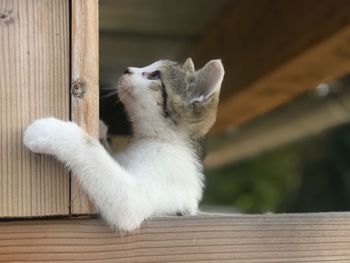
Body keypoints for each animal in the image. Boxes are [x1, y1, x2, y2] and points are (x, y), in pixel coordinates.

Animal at [23, 58, 224, 232]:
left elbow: (93, 152)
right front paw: (101, 130)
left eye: (155, 76)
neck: (156, 139)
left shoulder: (138, 197)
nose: (127, 69)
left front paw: (49, 131)